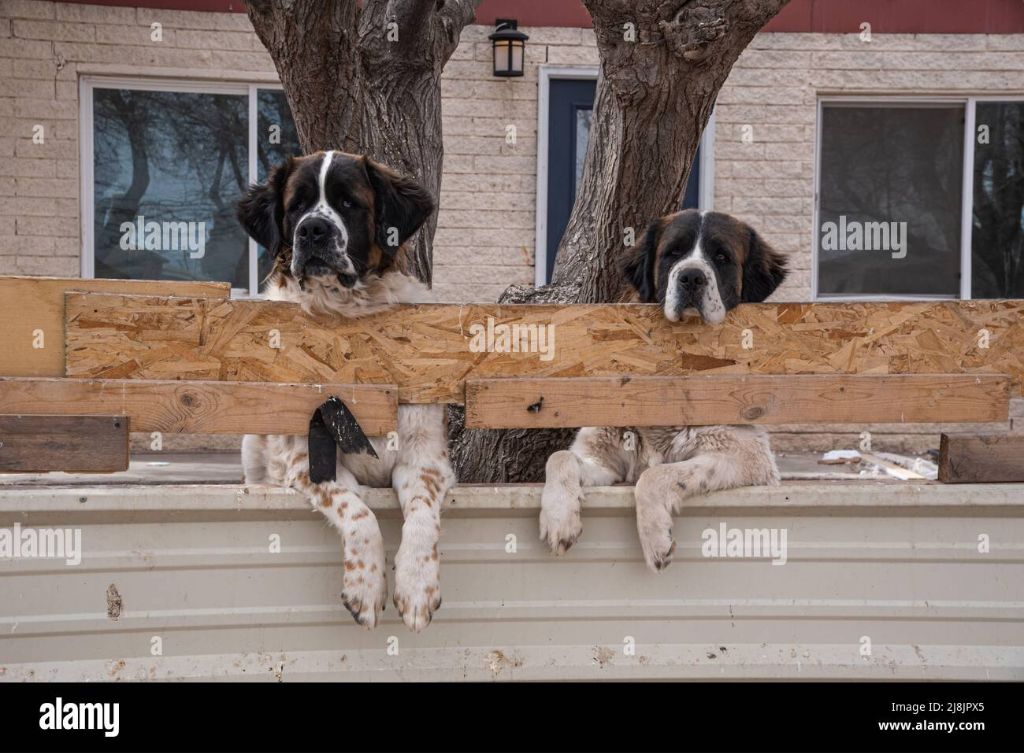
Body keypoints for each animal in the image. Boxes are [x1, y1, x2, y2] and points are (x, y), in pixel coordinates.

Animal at [237, 151, 454, 631]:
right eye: (296, 206)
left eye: (349, 203)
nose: (312, 230)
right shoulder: (309, 461)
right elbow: (360, 513)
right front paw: (365, 589)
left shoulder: (424, 457)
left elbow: (422, 513)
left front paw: (416, 586)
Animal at [540, 205, 786, 569]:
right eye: (673, 253)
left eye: (721, 257)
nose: (692, 277)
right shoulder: (603, 461)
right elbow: (559, 458)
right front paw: (559, 518)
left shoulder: (744, 455)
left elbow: (656, 475)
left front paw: (656, 538)